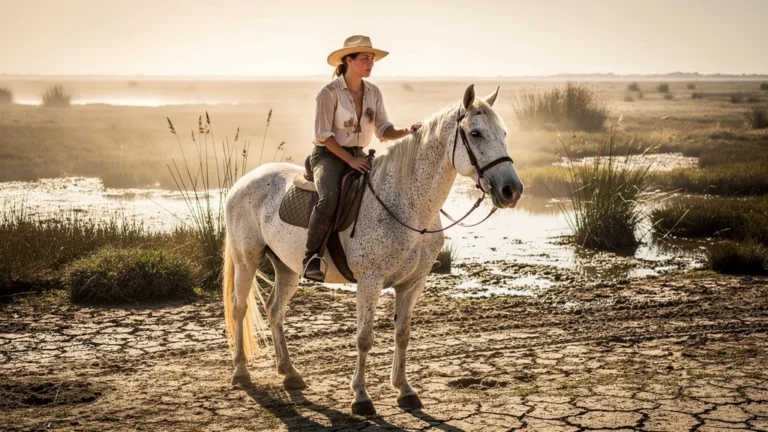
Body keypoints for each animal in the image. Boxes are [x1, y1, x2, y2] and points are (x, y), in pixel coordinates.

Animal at [222, 84, 523, 415]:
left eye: (504, 133)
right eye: (476, 133)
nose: (511, 190)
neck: (406, 206)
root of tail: (244, 181)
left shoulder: (413, 283)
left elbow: (402, 334)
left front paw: (405, 390)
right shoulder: (370, 282)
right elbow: (364, 338)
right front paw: (361, 397)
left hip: (287, 267)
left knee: (275, 310)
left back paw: (290, 374)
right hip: (247, 259)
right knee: (239, 307)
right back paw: (241, 372)